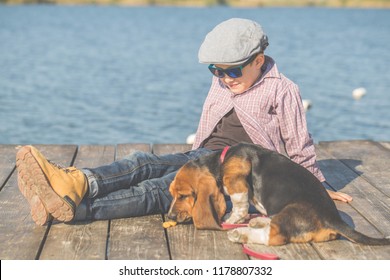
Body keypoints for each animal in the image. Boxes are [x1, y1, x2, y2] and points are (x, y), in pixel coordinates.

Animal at [168, 143, 390, 246]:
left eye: (183, 196)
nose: (170, 216)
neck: (221, 160)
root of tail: (333, 219)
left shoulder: (235, 176)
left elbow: (238, 202)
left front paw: (231, 220)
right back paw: (257, 221)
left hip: (290, 210)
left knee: (274, 235)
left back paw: (241, 233)